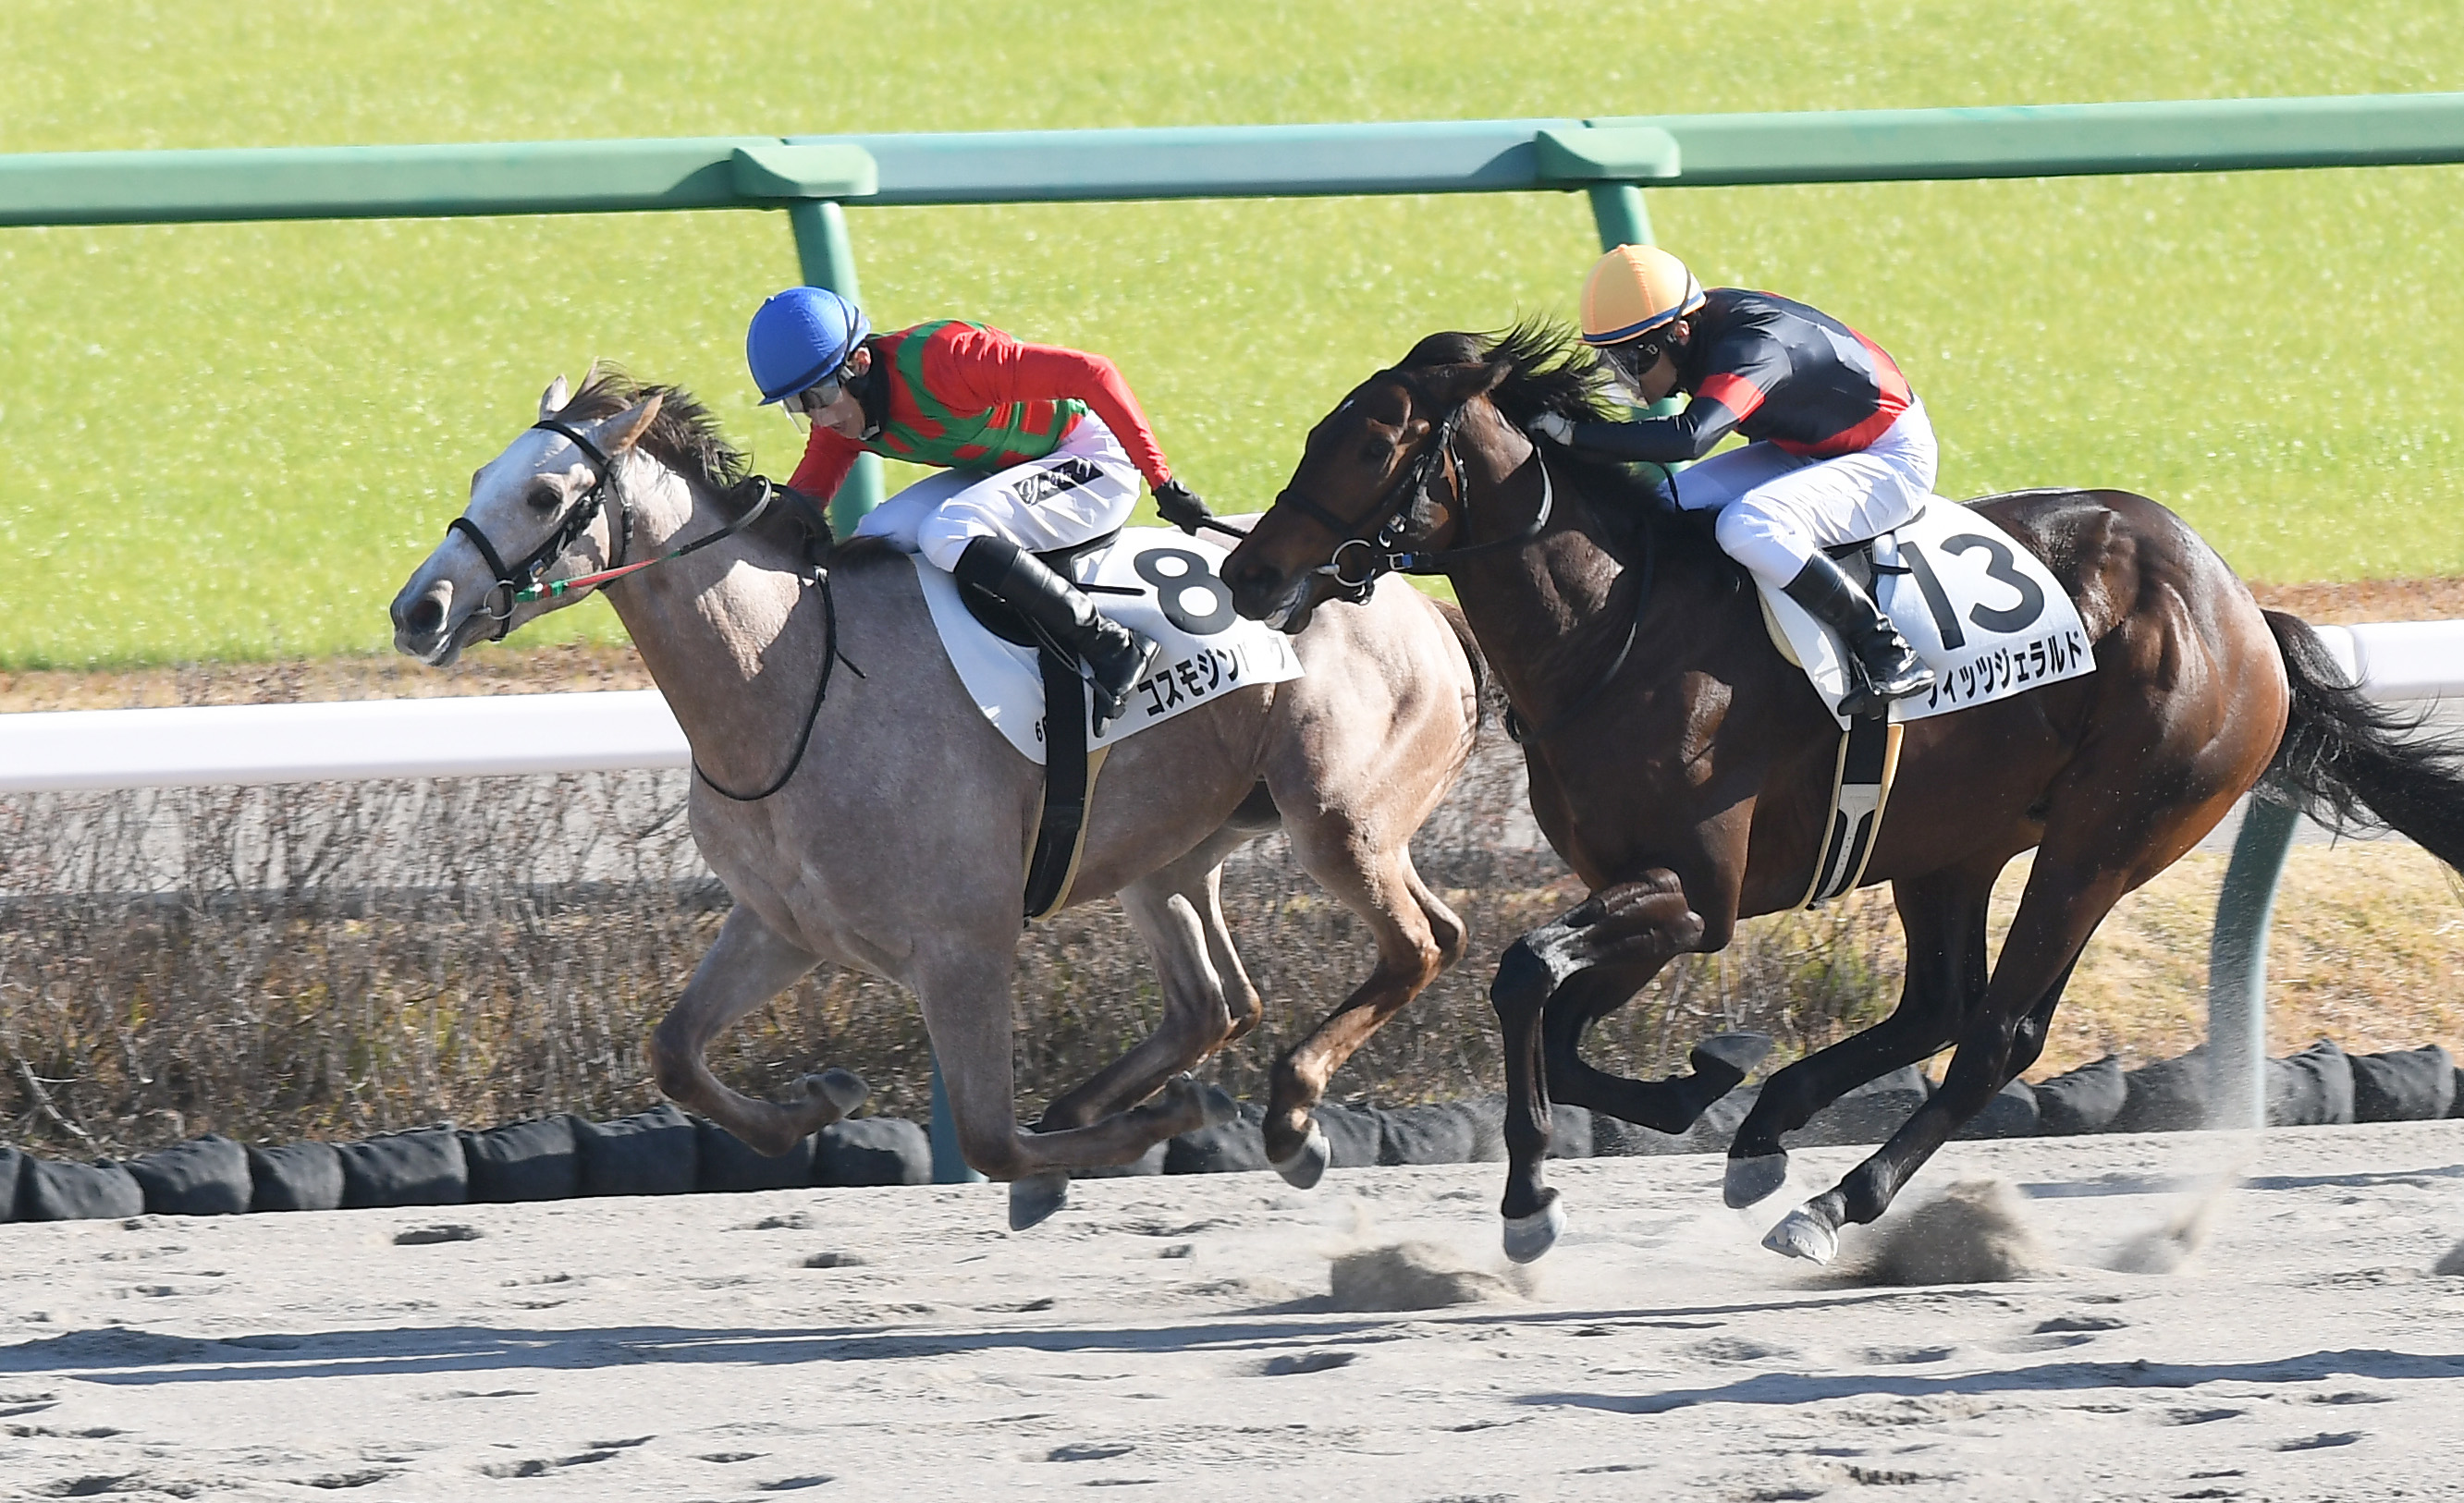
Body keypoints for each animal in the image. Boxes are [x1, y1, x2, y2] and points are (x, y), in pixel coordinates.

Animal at [389, 372, 1478, 1216]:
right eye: (481, 477)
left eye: (543, 494)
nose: (417, 609)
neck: (795, 680)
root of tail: (1414, 599)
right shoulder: (781, 923)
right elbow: (675, 1054)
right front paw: (818, 1102)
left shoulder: (964, 946)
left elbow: (991, 1140)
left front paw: (1154, 1127)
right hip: (1171, 850)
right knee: (1218, 1004)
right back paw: (1113, 1101)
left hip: (1335, 818)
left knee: (1423, 942)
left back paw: (1286, 1117)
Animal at [1217, 327, 2464, 1261]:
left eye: (1367, 440)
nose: (1245, 572)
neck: (1612, 628)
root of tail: (2241, 610)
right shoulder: (1645, 895)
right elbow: (1555, 1020)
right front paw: (1697, 1093)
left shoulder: (1693, 895)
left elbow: (1525, 974)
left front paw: (1532, 1201)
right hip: (1953, 843)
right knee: (1940, 1006)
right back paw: (1771, 1128)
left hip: (2106, 837)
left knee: (1997, 1035)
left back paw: (1834, 1203)